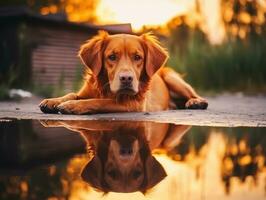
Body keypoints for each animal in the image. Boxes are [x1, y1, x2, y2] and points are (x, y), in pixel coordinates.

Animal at [39, 31, 208, 114]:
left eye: (137, 57)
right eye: (112, 57)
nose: (126, 78)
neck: (106, 88)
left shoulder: (133, 104)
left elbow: (99, 101)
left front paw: (73, 106)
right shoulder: (86, 91)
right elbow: (72, 94)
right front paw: (53, 101)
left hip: (171, 77)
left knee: (197, 96)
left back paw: (195, 102)